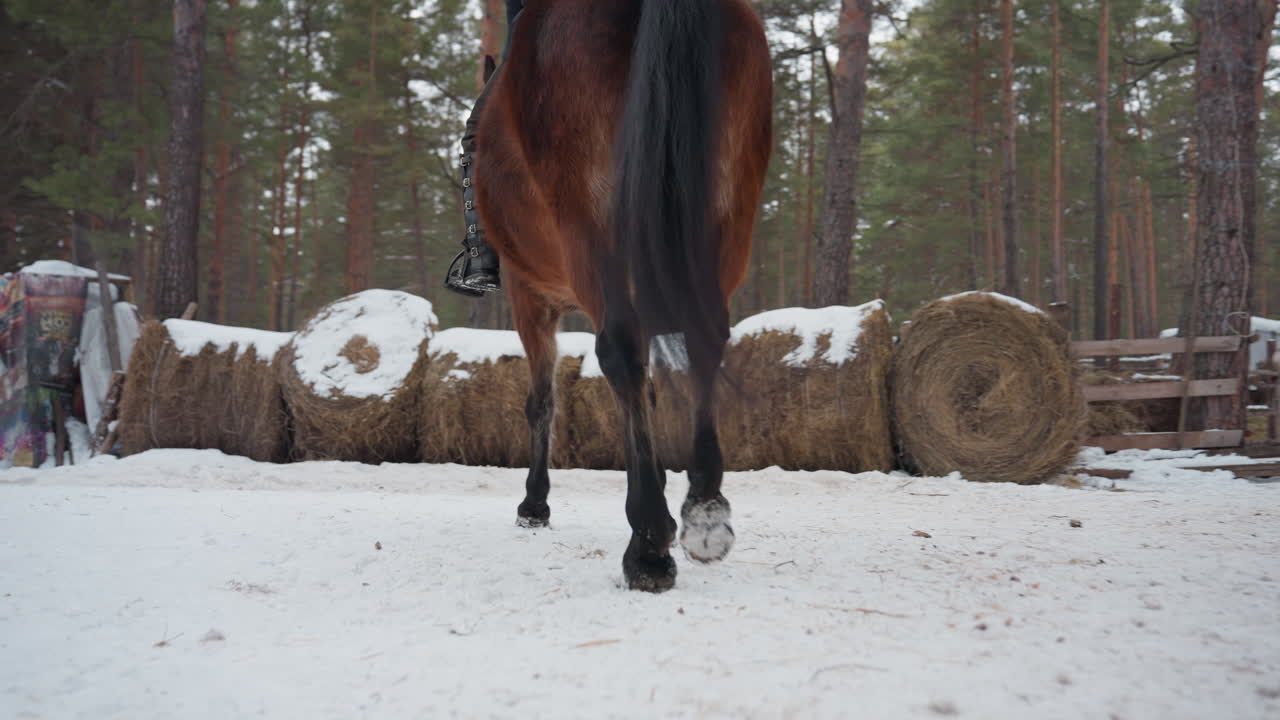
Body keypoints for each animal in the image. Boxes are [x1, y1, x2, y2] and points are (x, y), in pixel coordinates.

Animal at [474, 0, 773, 592]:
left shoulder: (527, 292)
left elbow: (541, 402)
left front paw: (534, 504)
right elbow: (650, 396)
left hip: (591, 219)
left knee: (620, 352)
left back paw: (648, 542)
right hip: (728, 210)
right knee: (705, 340)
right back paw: (704, 509)